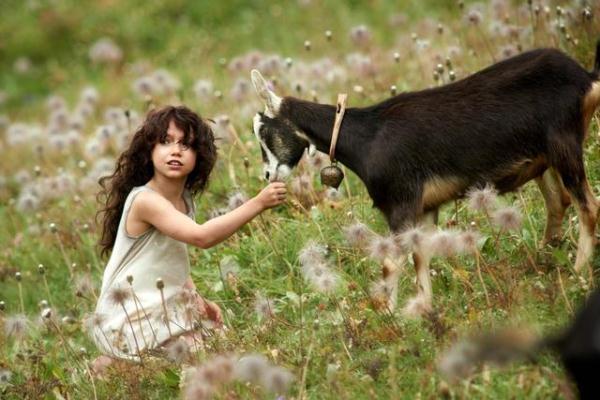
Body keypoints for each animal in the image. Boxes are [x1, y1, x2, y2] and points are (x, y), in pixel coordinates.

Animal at [251, 43, 600, 312]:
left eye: (263, 130)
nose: (268, 174)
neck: (368, 138)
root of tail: (585, 77)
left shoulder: (401, 203)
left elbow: (391, 262)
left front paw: (389, 318)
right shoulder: (425, 207)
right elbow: (422, 257)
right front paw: (423, 312)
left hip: (564, 147)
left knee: (588, 207)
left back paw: (577, 274)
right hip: (546, 160)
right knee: (559, 203)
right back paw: (544, 265)